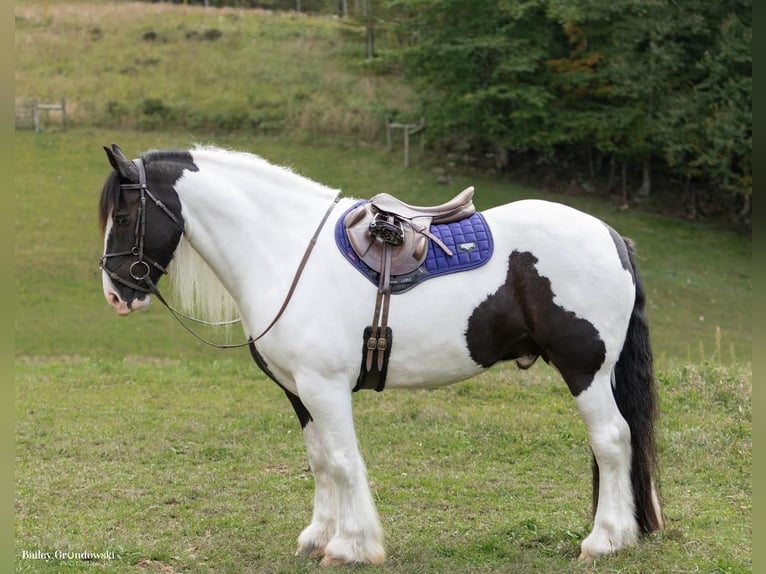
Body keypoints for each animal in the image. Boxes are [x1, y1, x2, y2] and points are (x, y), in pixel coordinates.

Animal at [97, 144, 664, 568]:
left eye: (124, 214)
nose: (116, 294)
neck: (285, 253)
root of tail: (611, 235)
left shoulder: (325, 386)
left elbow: (344, 461)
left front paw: (351, 546)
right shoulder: (299, 391)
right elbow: (320, 461)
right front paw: (318, 537)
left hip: (585, 369)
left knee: (612, 440)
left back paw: (605, 540)